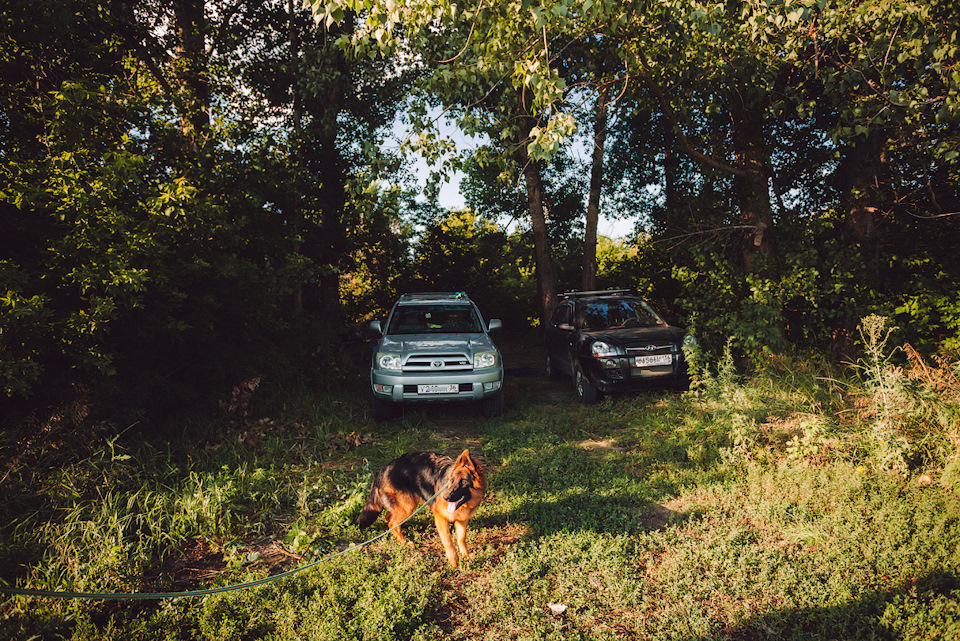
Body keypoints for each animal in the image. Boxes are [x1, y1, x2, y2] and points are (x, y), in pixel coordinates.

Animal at [356, 450, 484, 564]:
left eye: (463, 482)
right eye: (451, 481)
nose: (445, 497)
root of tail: (382, 471)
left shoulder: (462, 519)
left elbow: (461, 538)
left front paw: (465, 555)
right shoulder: (440, 518)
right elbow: (447, 539)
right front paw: (453, 559)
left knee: (389, 517)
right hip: (407, 507)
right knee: (391, 523)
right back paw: (404, 542)